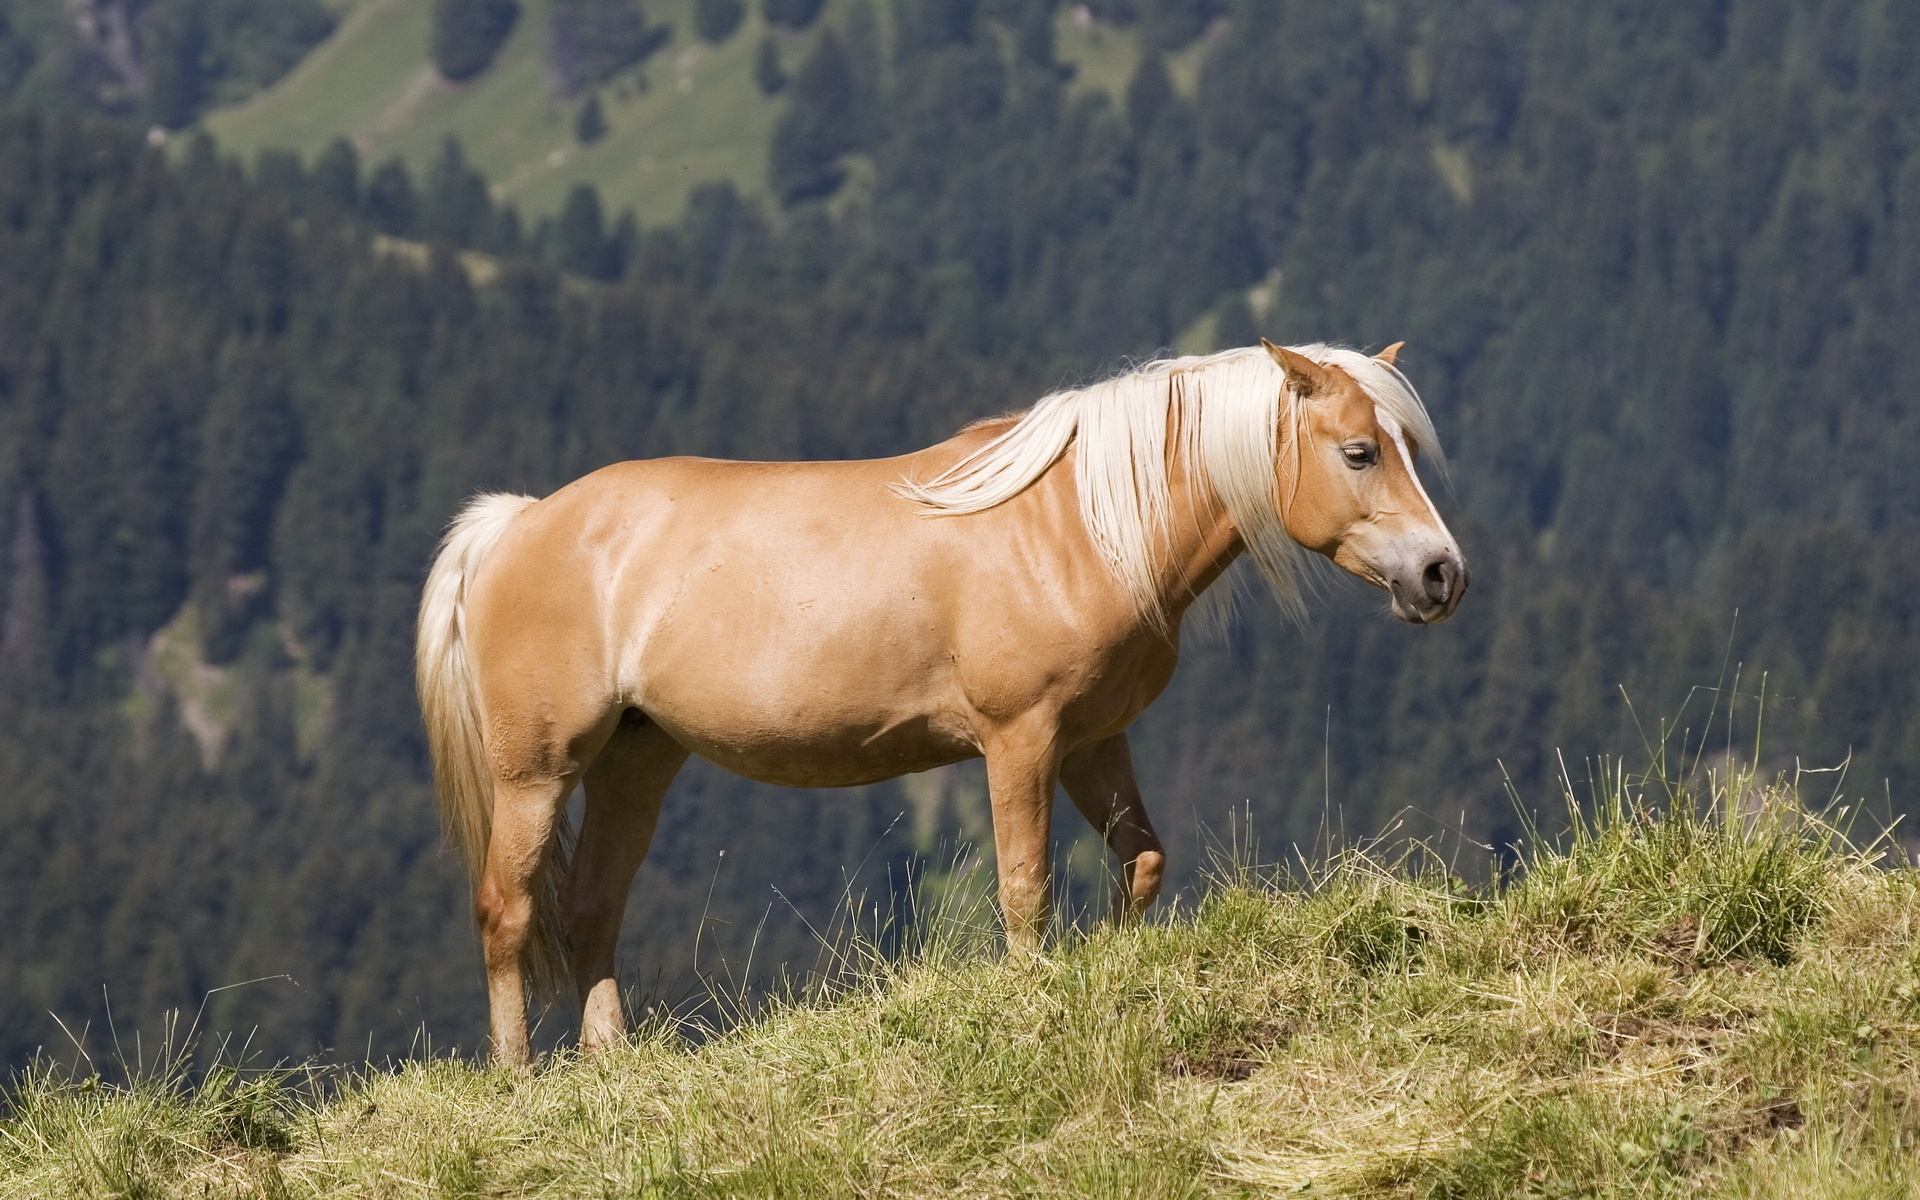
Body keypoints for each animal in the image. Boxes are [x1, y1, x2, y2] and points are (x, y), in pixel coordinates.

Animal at [420, 339, 1459, 1067]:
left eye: (1406, 447)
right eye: (1359, 452)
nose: (1442, 575)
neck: (1080, 524)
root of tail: (519, 521)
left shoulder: (1095, 742)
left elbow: (1144, 863)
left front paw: (1112, 959)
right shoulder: (1020, 740)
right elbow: (1024, 887)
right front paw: (1036, 1002)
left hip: (637, 757)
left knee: (593, 907)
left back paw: (613, 1069)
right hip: (537, 770)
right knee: (507, 910)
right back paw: (517, 1078)